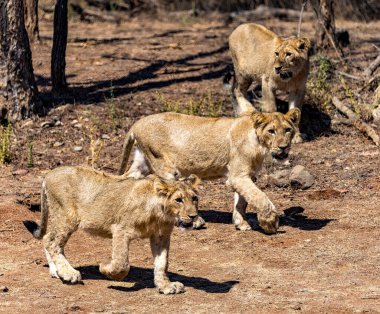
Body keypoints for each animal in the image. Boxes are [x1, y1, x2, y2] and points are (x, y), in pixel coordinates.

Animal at [23, 167, 202, 294]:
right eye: (178, 200)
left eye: (194, 198)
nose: (193, 216)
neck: (161, 214)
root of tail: (49, 174)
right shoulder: (121, 229)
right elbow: (122, 263)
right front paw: (105, 269)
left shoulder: (161, 236)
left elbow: (162, 263)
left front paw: (166, 286)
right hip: (67, 216)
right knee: (51, 242)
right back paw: (68, 273)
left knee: (47, 238)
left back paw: (56, 271)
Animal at [118, 108, 300, 233]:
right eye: (271, 131)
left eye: (287, 130)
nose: (283, 147)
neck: (259, 144)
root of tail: (136, 124)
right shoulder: (238, 176)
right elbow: (260, 197)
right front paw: (270, 222)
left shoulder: (246, 176)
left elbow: (242, 201)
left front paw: (241, 223)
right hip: (164, 166)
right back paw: (196, 221)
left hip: (143, 162)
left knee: (127, 178)